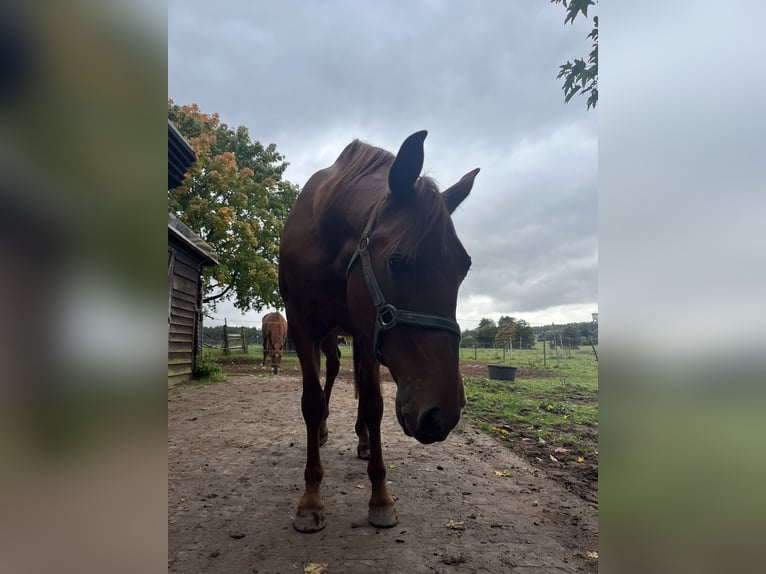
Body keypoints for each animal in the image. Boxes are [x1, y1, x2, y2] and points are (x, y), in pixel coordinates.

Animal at [279, 130, 479, 532]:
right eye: (396, 262)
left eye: (463, 267)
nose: (443, 414)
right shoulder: (302, 325)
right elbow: (311, 402)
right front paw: (310, 500)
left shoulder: (366, 329)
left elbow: (373, 404)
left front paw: (380, 498)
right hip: (329, 336)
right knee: (331, 372)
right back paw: (323, 432)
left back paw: (364, 441)